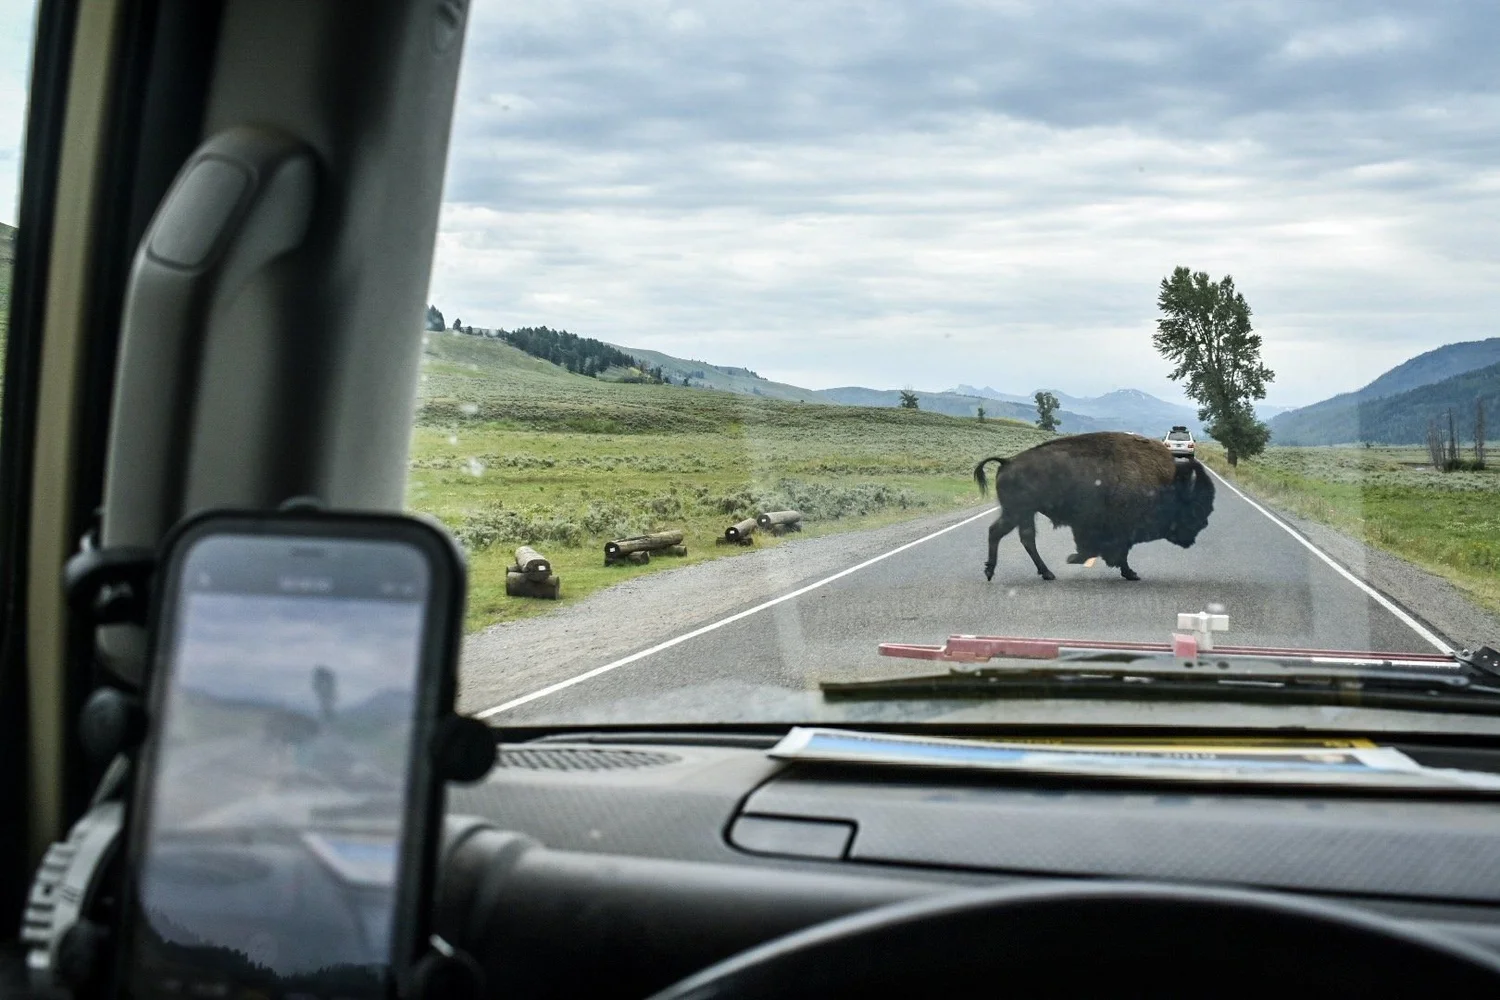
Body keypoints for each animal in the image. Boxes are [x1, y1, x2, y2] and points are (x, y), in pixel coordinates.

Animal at [974, 431, 1215, 582]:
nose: (1204, 524)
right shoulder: (1115, 528)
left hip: (1024, 513)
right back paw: (992, 571)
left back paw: (1046, 573)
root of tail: (1007, 462)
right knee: (998, 532)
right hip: (1016, 512)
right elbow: (1114, 550)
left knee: (1025, 538)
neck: (1166, 484)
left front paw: (1129, 573)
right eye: (1195, 506)